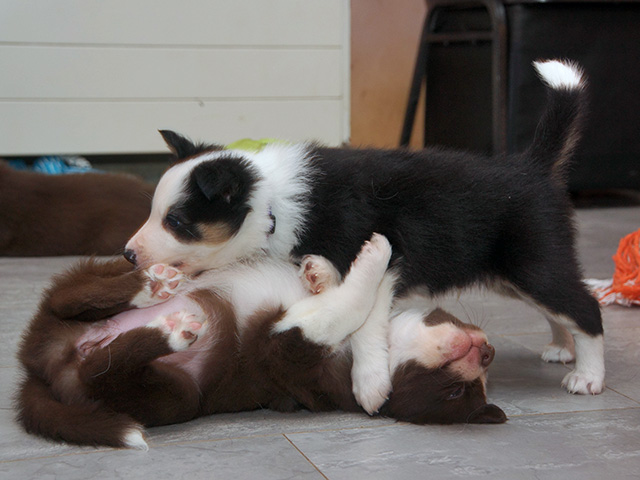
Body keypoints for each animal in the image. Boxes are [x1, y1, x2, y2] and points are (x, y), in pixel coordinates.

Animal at [16, 234, 505, 449]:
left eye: (457, 393)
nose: (488, 352)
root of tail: (36, 371)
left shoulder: (285, 347)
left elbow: (346, 308)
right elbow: (359, 300)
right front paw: (327, 271)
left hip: (174, 395)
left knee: (102, 368)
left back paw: (171, 330)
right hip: (89, 282)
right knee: (70, 296)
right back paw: (151, 287)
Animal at [123, 59, 604, 410]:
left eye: (177, 222)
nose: (127, 254)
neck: (271, 204)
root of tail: (531, 167)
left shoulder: (389, 251)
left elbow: (368, 316)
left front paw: (371, 381)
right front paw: (318, 276)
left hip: (534, 264)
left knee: (586, 307)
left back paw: (587, 374)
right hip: (510, 276)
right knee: (562, 308)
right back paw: (561, 346)